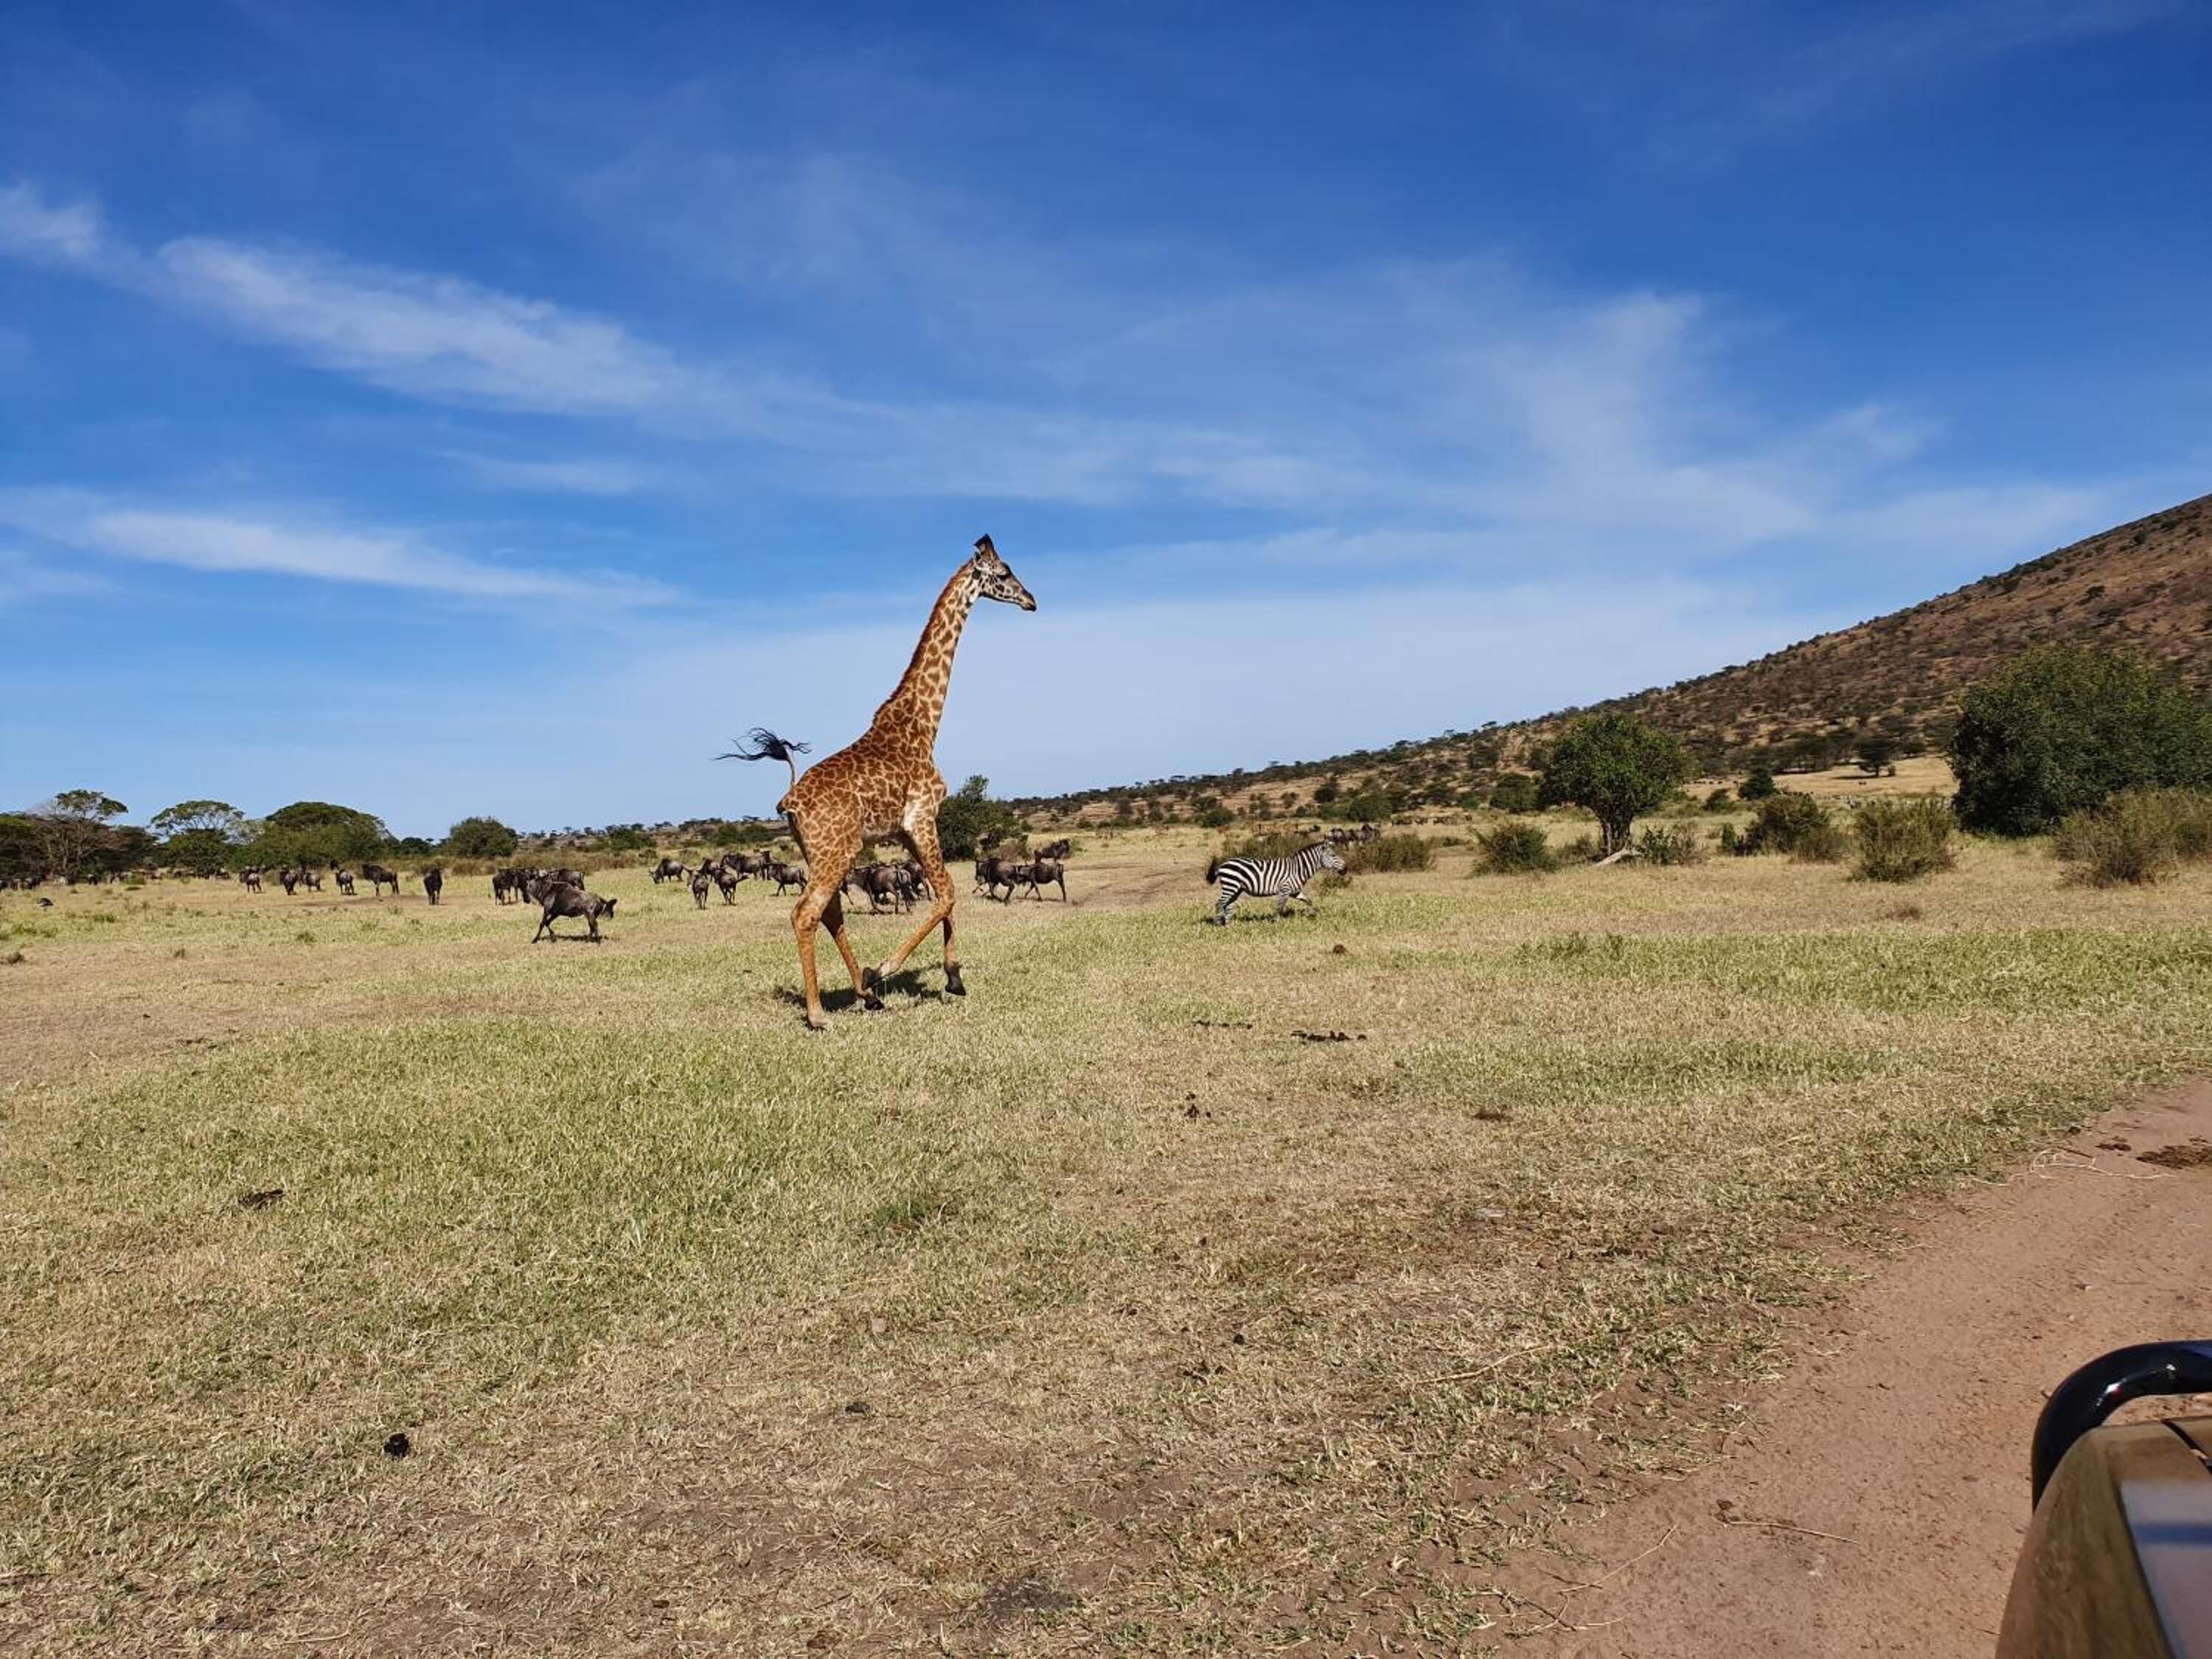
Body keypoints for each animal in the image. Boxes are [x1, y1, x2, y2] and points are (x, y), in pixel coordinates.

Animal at [734, 536, 1036, 1030]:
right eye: (1006, 572)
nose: (1032, 601)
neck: (923, 723)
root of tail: (788, 802)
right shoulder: (923, 817)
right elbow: (947, 893)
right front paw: (887, 968)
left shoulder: (907, 829)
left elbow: (943, 894)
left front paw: (952, 977)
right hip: (837, 851)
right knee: (806, 913)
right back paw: (820, 1012)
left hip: (821, 852)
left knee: (830, 913)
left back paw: (866, 995)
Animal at [1206, 841, 1347, 925]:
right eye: (1333, 855)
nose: (1346, 869)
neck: (1298, 869)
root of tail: (1222, 865)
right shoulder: (1285, 889)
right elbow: (1280, 907)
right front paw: (1276, 922)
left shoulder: (1295, 892)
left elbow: (1309, 901)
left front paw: (1313, 915)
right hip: (1231, 886)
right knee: (1220, 903)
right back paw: (1217, 924)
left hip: (1236, 889)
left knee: (1228, 905)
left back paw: (1229, 925)